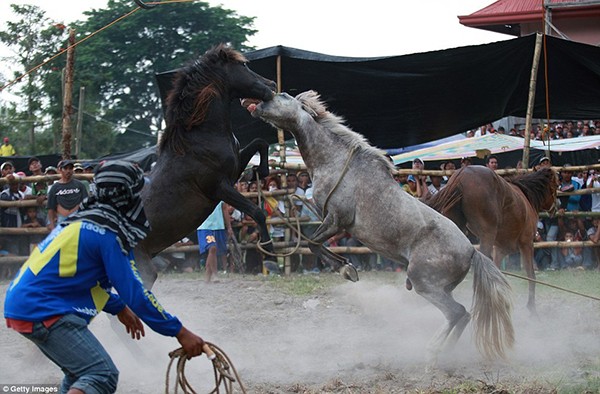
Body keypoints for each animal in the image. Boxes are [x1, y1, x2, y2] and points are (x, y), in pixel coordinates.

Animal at [134, 44, 276, 286]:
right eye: (243, 66)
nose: (272, 85)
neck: (200, 136)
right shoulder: (219, 187)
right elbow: (257, 212)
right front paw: (270, 255)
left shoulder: (234, 169)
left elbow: (260, 142)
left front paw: (257, 172)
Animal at [245, 91, 516, 364]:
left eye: (283, 96)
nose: (257, 104)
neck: (335, 163)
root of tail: (471, 251)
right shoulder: (330, 221)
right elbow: (316, 245)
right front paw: (347, 267)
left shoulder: (336, 219)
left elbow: (312, 244)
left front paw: (347, 270)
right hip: (438, 287)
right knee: (463, 315)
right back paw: (445, 351)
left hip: (424, 283)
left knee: (457, 313)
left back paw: (433, 351)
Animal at [426, 165, 556, 316]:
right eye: (555, 185)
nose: (555, 208)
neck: (527, 197)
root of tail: (462, 174)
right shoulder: (527, 244)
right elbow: (531, 275)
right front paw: (532, 309)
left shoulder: (499, 249)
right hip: (487, 235)